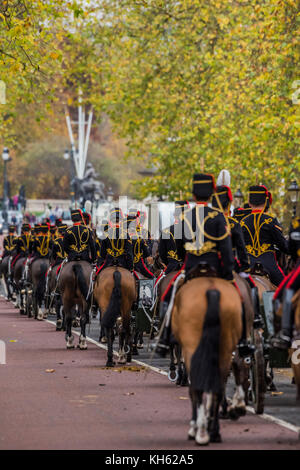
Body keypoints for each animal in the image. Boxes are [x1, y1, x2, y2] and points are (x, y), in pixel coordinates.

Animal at [170, 278, 243, 446]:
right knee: (219, 388)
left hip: (193, 348)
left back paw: (201, 432)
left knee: (197, 388)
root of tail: (211, 288)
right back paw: (215, 431)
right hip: (224, 351)